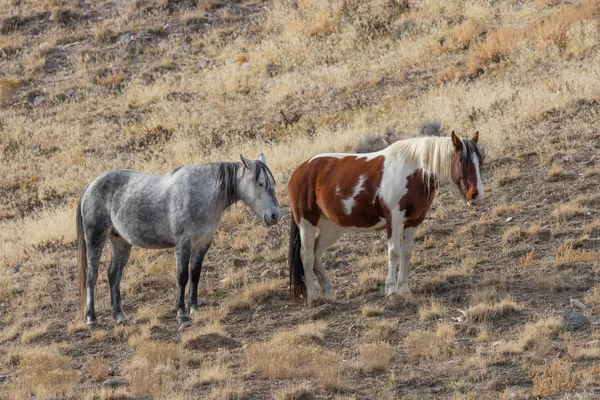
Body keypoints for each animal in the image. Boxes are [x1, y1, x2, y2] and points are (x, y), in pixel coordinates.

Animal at [77, 154, 282, 328]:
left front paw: (194, 309)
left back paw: (120, 315)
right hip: (95, 237)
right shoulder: (184, 243)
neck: (203, 194)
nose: (275, 216)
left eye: (272, 183)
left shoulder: (203, 243)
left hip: (121, 242)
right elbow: (182, 276)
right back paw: (91, 319)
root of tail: (90, 186)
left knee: (113, 274)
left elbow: (195, 274)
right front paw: (182, 313)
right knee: (92, 276)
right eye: (260, 183)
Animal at [288, 133, 486, 304]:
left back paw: (327, 290)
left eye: (480, 162)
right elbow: (394, 252)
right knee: (306, 256)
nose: (477, 196)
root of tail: (300, 171)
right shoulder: (395, 219)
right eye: (462, 161)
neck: (413, 172)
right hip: (306, 223)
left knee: (316, 253)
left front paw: (404, 288)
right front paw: (391, 290)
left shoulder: (414, 221)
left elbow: (406, 253)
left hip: (332, 228)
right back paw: (313, 297)